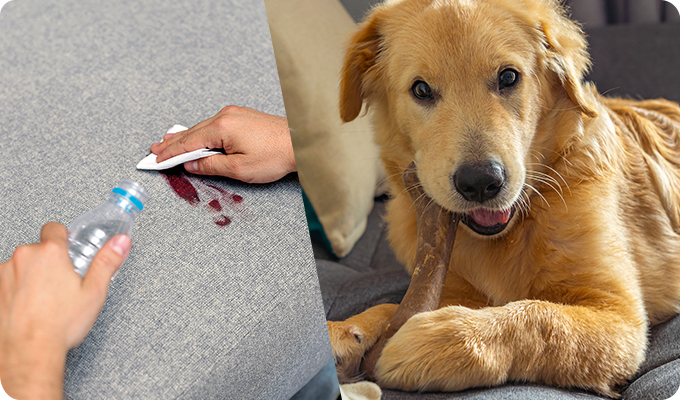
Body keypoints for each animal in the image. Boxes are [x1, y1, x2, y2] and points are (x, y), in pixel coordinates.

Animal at [326, 0, 680, 396]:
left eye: (508, 77)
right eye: (421, 90)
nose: (481, 183)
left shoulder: (621, 317)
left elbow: (540, 317)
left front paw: (437, 339)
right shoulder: (449, 283)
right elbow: (393, 306)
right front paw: (344, 331)